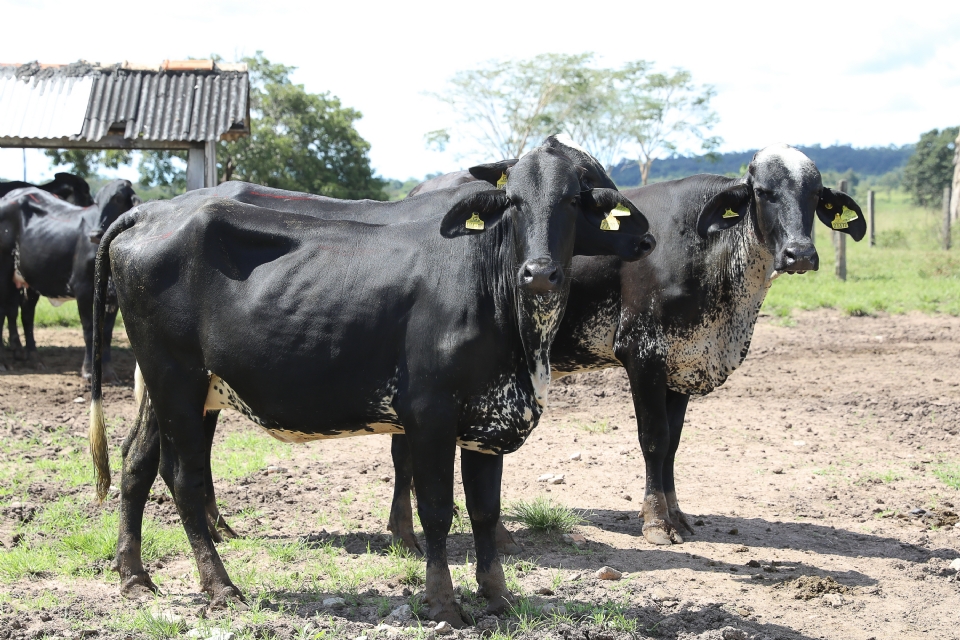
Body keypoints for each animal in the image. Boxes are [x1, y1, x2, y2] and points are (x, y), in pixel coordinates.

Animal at [90, 146, 656, 624]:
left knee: (137, 461)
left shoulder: (487, 419)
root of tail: (152, 213)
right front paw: (443, 604)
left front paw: (497, 598)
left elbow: (485, 513)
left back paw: (133, 577)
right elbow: (437, 512)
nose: (538, 273)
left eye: (576, 198)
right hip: (176, 380)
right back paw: (220, 587)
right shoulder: (430, 415)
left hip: (174, 388)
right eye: (513, 202)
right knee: (183, 477)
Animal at [386, 142, 868, 548]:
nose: (800, 254)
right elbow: (653, 438)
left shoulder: (681, 364)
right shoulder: (643, 354)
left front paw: (677, 515)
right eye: (764, 192)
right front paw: (656, 521)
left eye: (815, 196)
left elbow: (673, 444)